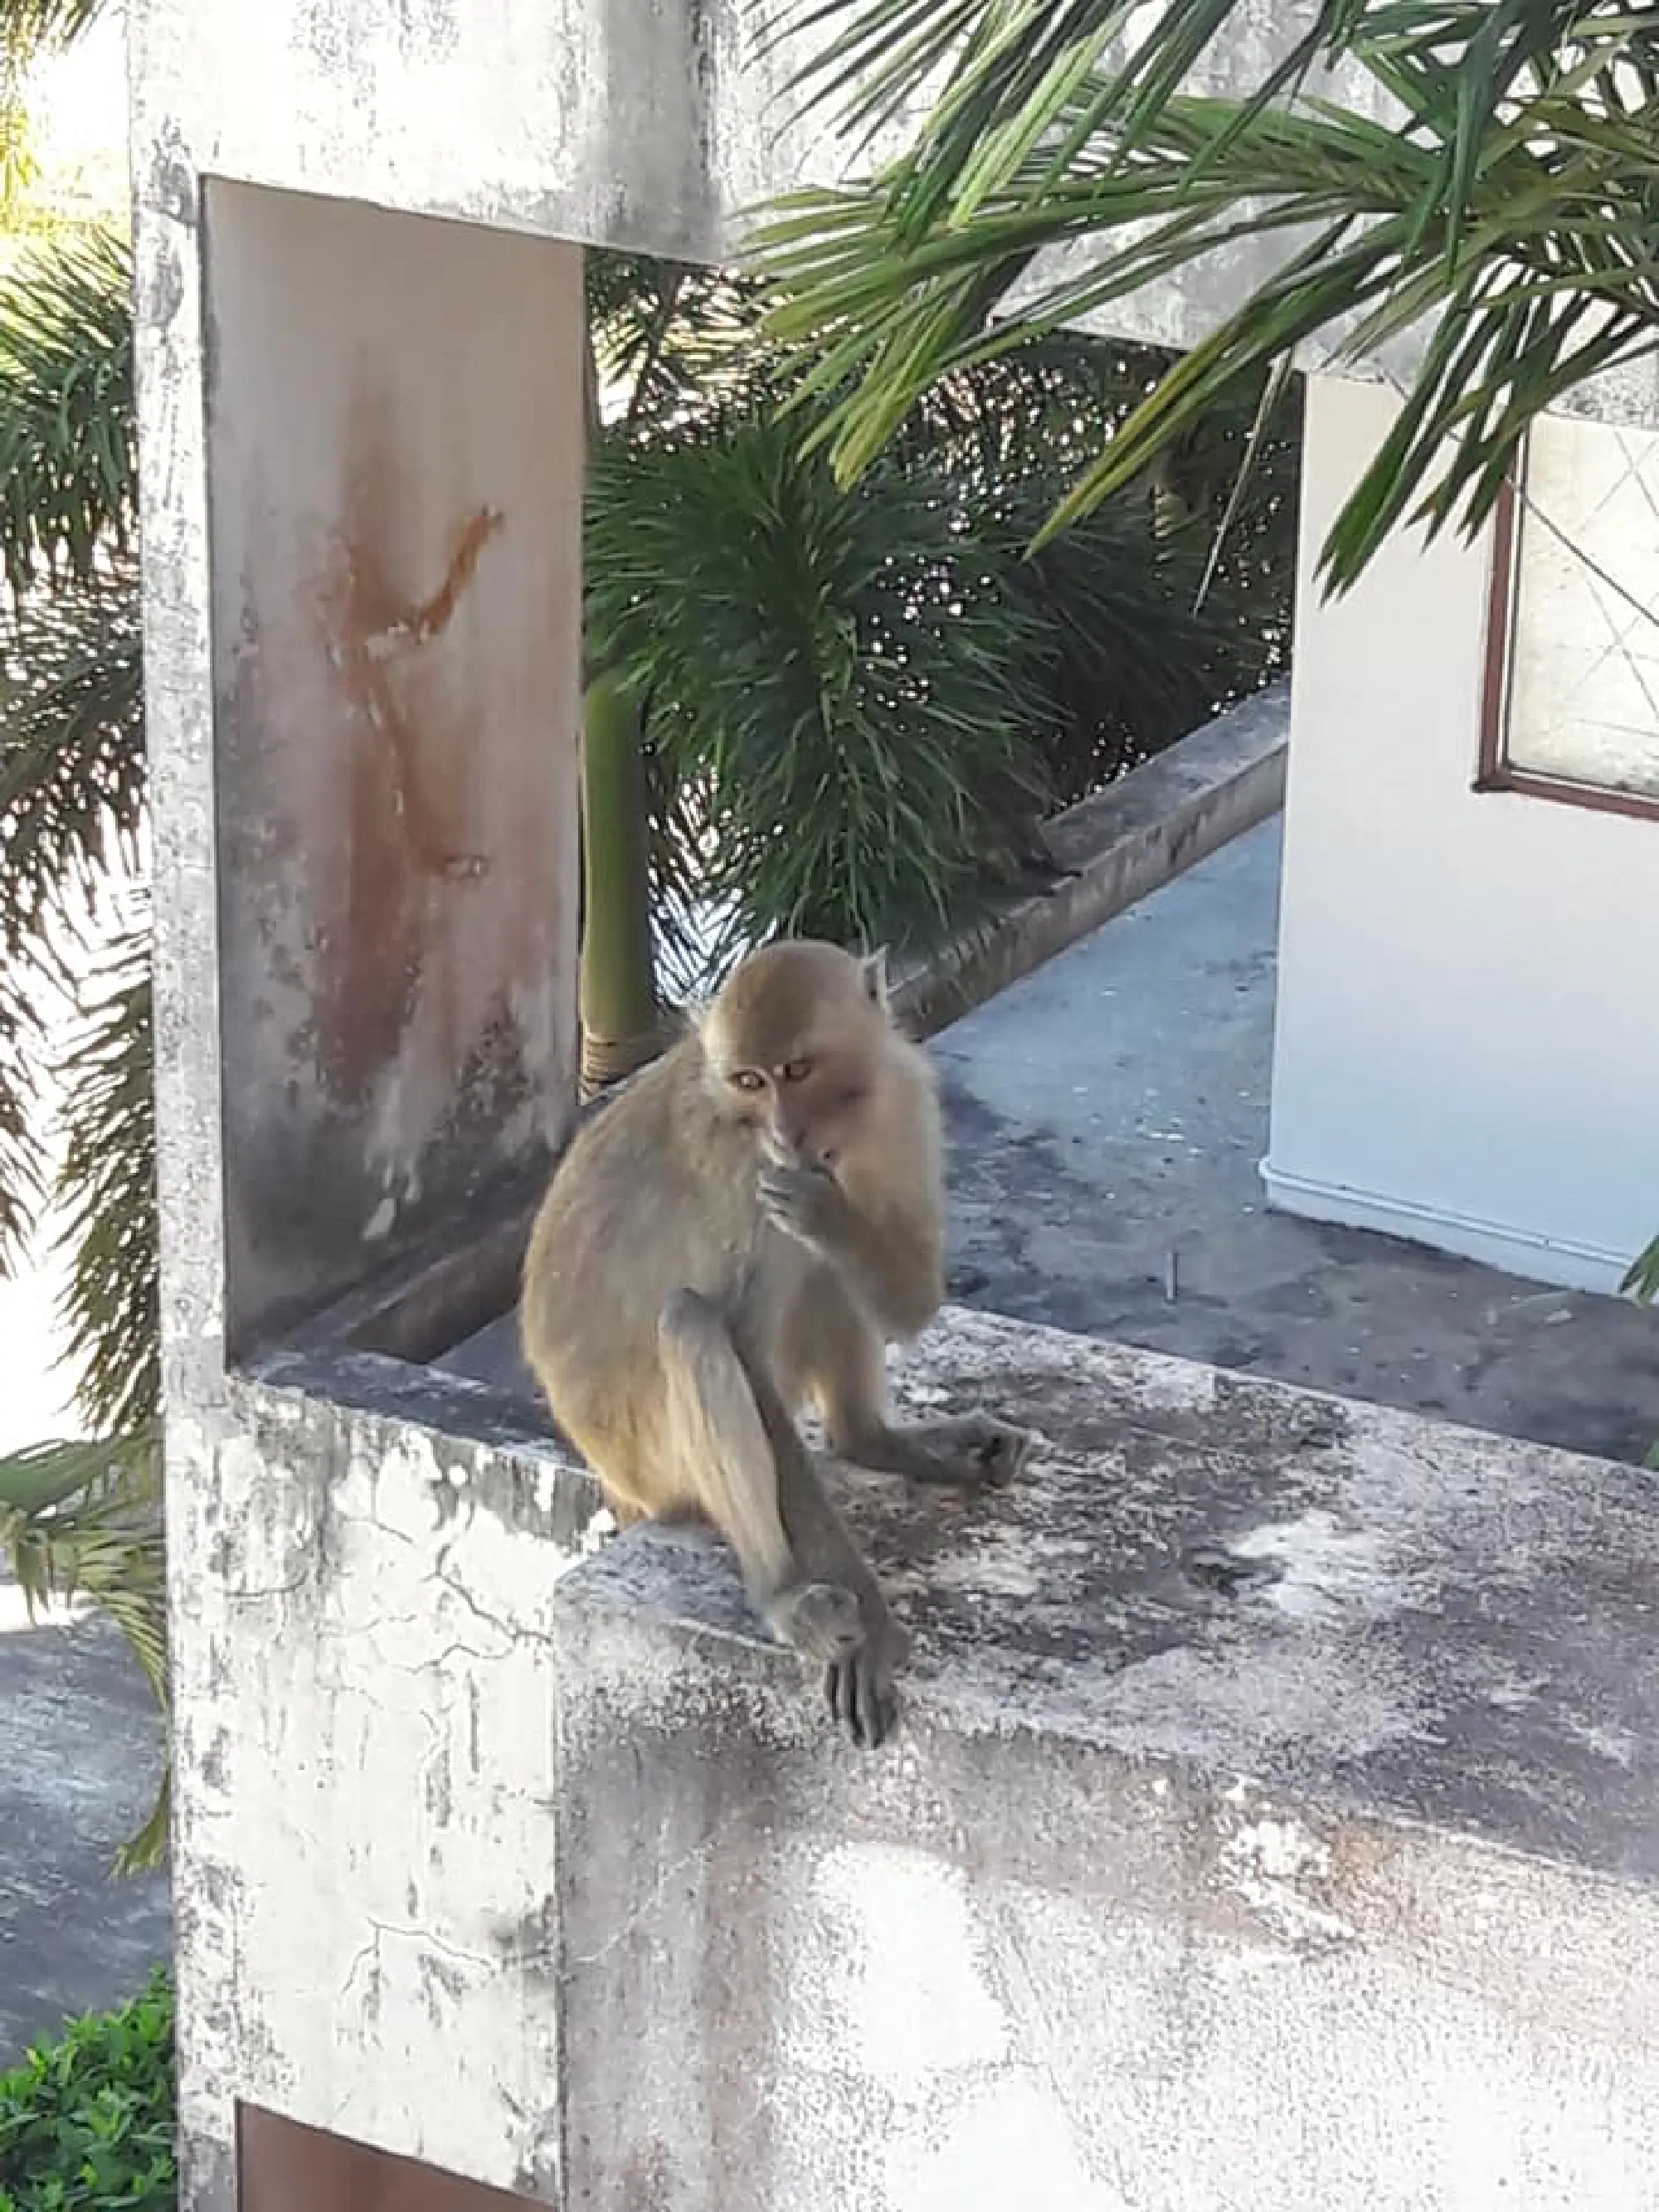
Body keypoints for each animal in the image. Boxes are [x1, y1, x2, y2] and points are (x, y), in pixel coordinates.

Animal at [520, 937, 1033, 1747]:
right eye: (749, 1081)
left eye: (796, 1070)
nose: (787, 1135)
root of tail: (611, 1478)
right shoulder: (747, 1178)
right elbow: (747, 1356)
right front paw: (873, 1626)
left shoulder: (904, 1100)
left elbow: (913, 1301)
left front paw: (833, 1216)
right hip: (654, 1462)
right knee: (691, 1323)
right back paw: (782, 1593)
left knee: (820, 1276)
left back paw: (877, 1440)